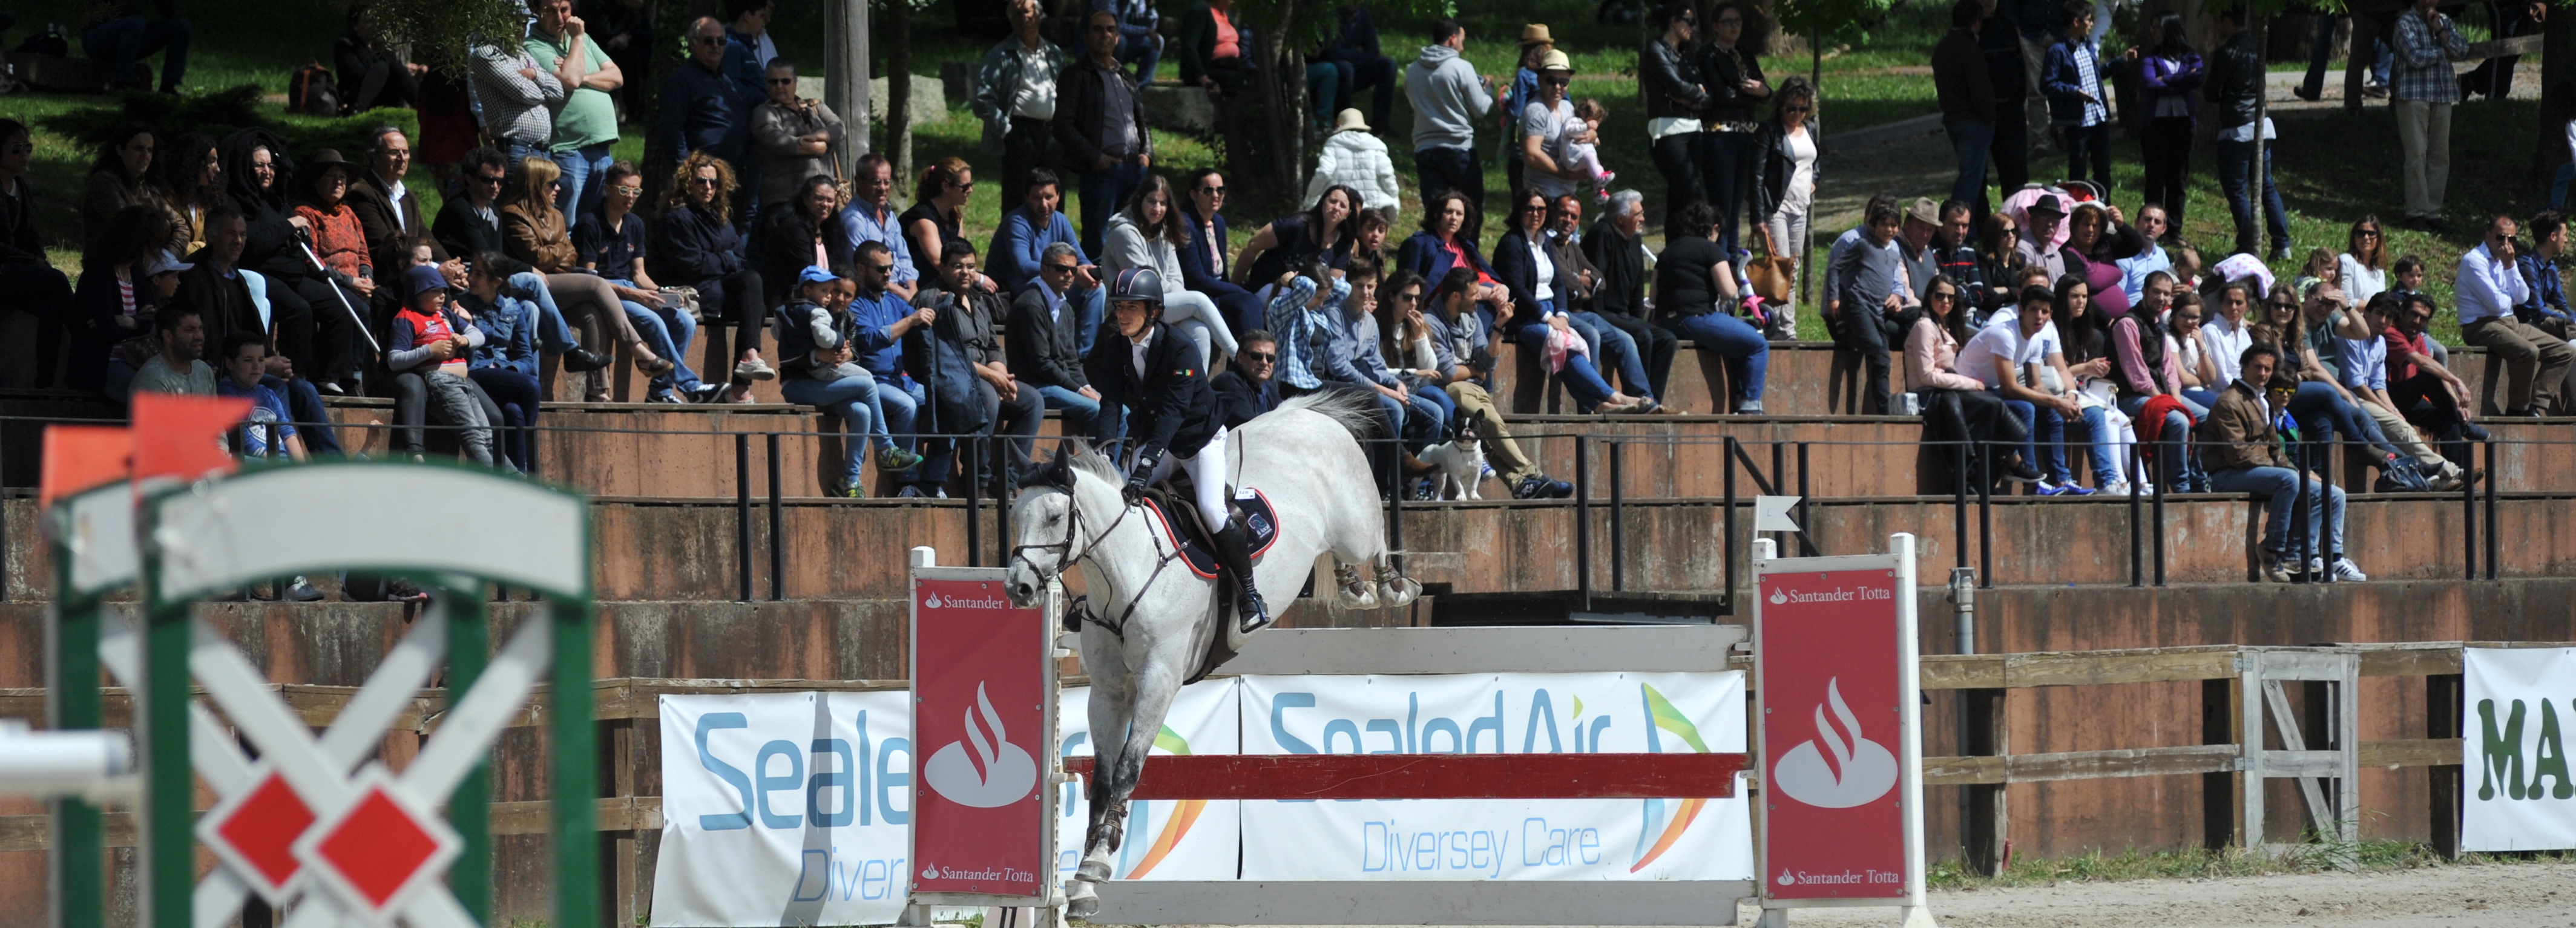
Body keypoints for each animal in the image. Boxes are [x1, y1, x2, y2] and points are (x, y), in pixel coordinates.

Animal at [1004, 389, 1422, 912]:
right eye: (1016, 516)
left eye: (1055, 517)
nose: (1018, 588)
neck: (1125, 572)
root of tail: (1304, 416)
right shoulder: (1108, 692)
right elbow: (1101, 780)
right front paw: (1082, 882)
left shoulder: (1159, 683)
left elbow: (1127, 770)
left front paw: (1098, 863)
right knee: (1345, 560)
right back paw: (1353, 588)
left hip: (1355, 524)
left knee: (1375, 544)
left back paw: (1390, 588)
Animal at [1432, 422, 1494, 500]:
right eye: (1460, 427)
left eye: (1475, 427)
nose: (1468, 430)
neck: (1466, 451)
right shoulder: (1455, 474)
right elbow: (1459, 485)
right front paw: (1461, 496)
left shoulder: (1476, 472)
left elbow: (1474, 484)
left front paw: (1474, 495)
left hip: (1441, 480)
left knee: (1437, 492)